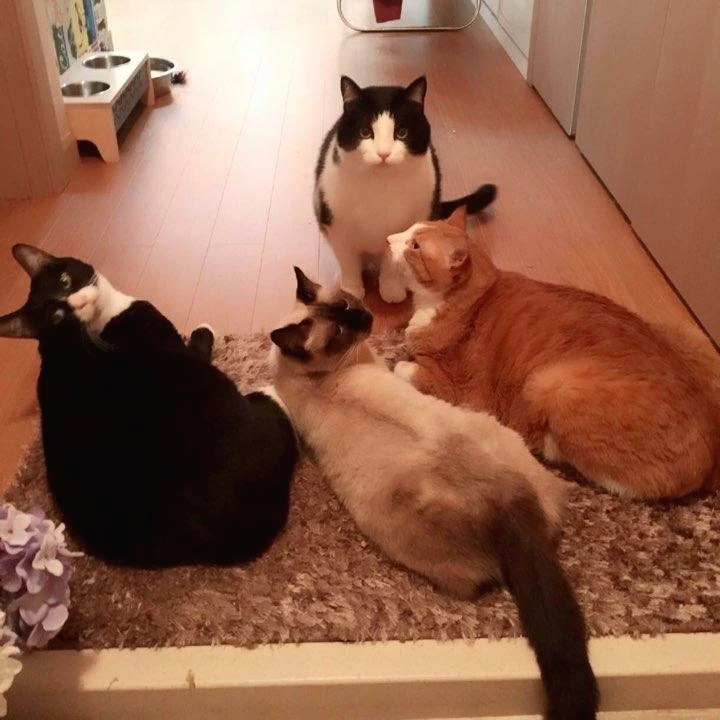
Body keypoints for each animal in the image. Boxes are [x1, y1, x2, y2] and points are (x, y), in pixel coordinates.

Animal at [314, 75, 496, 303]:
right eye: (365, 132)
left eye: (401, 133)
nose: (383, 154)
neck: (381, 185)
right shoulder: (337, 227)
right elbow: (348, 262)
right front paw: (351, 290)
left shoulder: (405, 227)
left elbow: (393, 256)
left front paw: (391, 289)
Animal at [387, 206, 720, 500]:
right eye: (409, 230)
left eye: (415, 246)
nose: (389, 239)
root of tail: (711, 463)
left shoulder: (455, 387)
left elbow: (405, 367)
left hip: (553, 383)